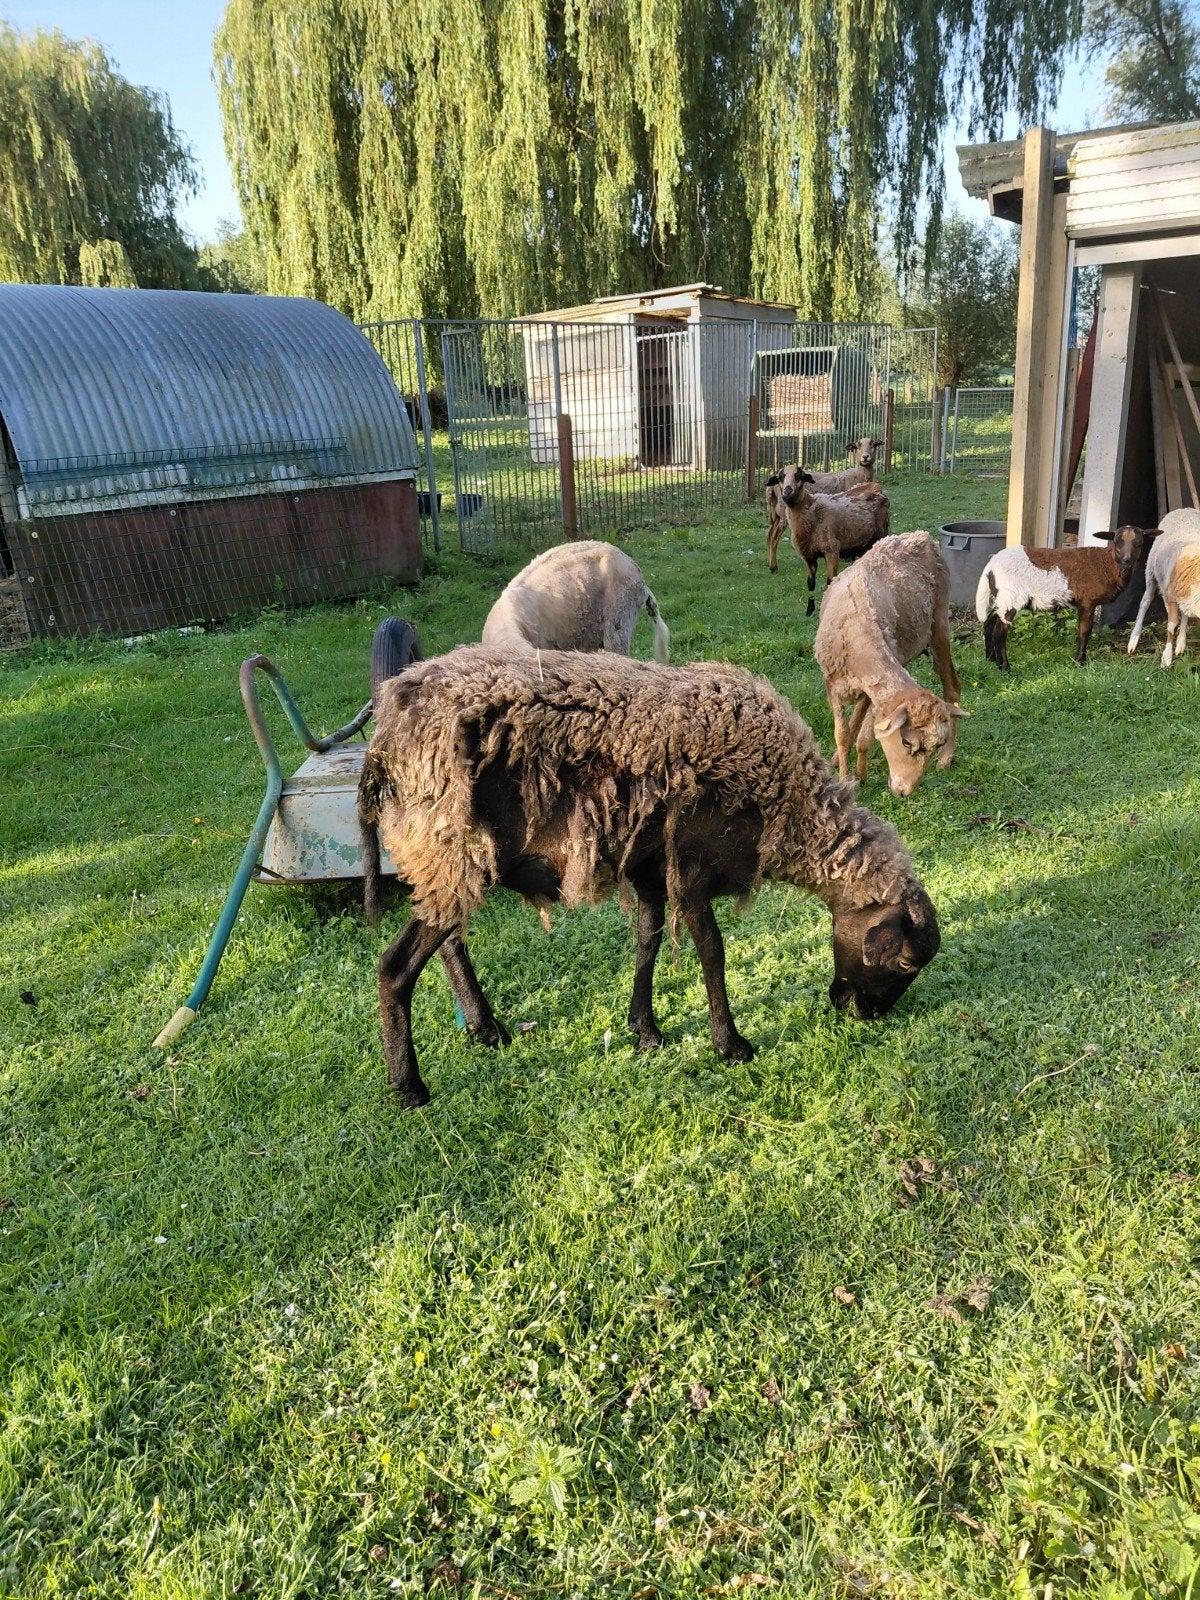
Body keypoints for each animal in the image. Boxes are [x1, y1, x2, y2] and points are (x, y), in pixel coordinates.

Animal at [358, 648, 940, 1107]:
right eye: (905, 962)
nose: (863, 1013)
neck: (787, 804)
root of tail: (384, 737)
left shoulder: (650, 870)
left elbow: (648, 940)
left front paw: (645, 1029)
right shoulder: (691, 866)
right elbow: (711, 951)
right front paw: (731, 1045)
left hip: (449, 859)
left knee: (450, 941)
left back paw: (485, 1029)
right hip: (447, 849)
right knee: (395, 966)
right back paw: (408, 1087)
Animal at [775, 466, 890, 611]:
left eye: (799, 476)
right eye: (780, 477)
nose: (787, 492)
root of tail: (877, 487)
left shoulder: (831, 550)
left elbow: (830, 581)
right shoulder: (808, 555)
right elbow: (810, 583)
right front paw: (809, 611)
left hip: (881, 531)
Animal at [813, 531, 968, 797]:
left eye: (935, 746)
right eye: (906, 742)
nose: (905, 791)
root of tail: (921, 536)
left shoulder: (872, 693)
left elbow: (866, 737)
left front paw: (861, 776)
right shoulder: (832, 685)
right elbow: (842, 734)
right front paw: (845, 778)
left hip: (939, 623)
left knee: (952, 686)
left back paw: (946, 760)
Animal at [975, 525, 1157, 669]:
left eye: (1140, 543)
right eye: (1117, 542)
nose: (1127, 560)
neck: (1108, 564)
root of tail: (990, 566)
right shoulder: (1087, 601)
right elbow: (1084, 631)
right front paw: (1080, 662)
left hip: (1002, 597)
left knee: (988, 623)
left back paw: (990, 660)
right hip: (1011, 595)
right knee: (999, 632)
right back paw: (1005, 668)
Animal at [1127, 508, 1200, 662]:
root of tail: (1184, 509)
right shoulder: (1171, 595)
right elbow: (1172, 626)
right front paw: (1166, 658)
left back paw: (1181, 643)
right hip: (1151, 572)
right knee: (1145, 601)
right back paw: (1134, 639)